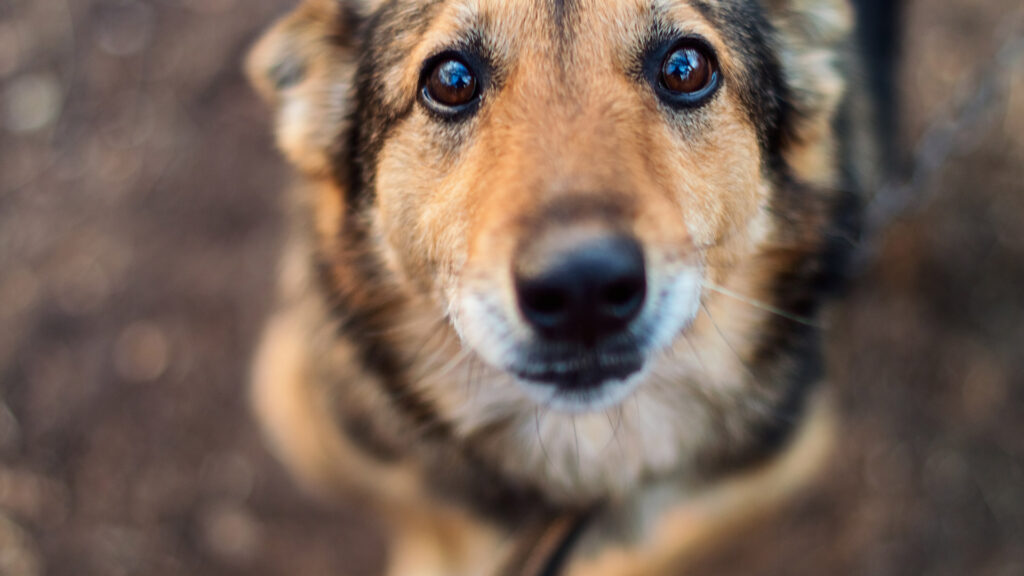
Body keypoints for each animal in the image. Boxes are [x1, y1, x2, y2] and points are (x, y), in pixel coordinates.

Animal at [243, 2, 884, 569]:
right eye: (450, 81)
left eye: (686, 68)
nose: (583, 287)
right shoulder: (300, 400)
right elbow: (424, 519)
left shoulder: (772, 471)